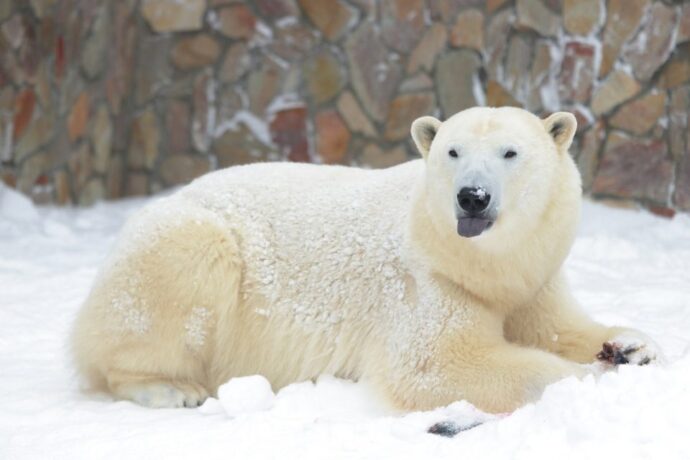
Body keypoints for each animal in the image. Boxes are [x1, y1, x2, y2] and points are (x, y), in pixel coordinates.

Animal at [72, 108, 660, 414]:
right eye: (451, 151)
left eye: (510, 153)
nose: (472, 197)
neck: (481, 263)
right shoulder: (429, 282)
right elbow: (436, 364)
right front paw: (584, 379)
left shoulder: (534, 278)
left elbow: (558, 326)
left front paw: (631, 347)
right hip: (187, 242)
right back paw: (172, 388)